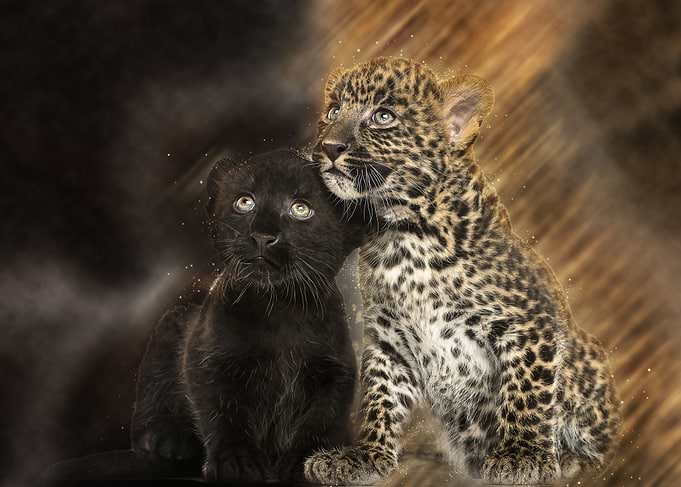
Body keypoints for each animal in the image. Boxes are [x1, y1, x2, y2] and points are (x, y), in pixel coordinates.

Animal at [303, 57, 622, 485]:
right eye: (334, 111)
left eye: (383, 117)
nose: (329, 147)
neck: (402, 236)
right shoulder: (389, 343)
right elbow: (379, 398)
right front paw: (364, 456)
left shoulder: (529, 324)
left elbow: (526, 392)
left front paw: (521, 456)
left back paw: (570, 459)